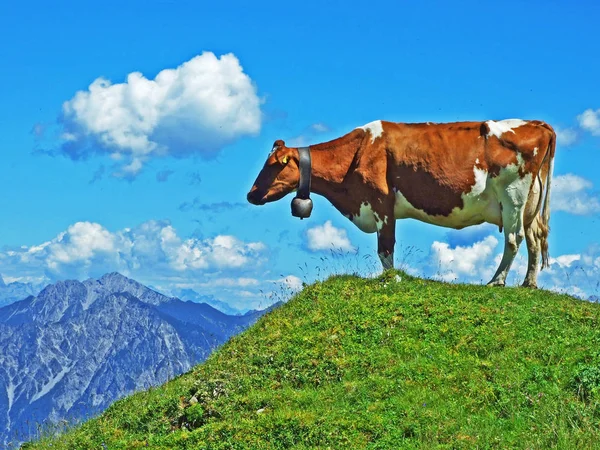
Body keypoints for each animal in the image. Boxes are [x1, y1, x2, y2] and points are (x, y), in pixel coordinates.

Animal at [246, 118, 556, 288]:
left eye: (273, 165)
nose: (251, 194)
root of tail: (536, 124)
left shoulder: (381, 202)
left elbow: (385, 248)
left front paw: (391, 279)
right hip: (528, 204)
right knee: (534, 237)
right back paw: (528, 283)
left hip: (513, 195)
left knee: (514, 239)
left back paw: (496, 281)